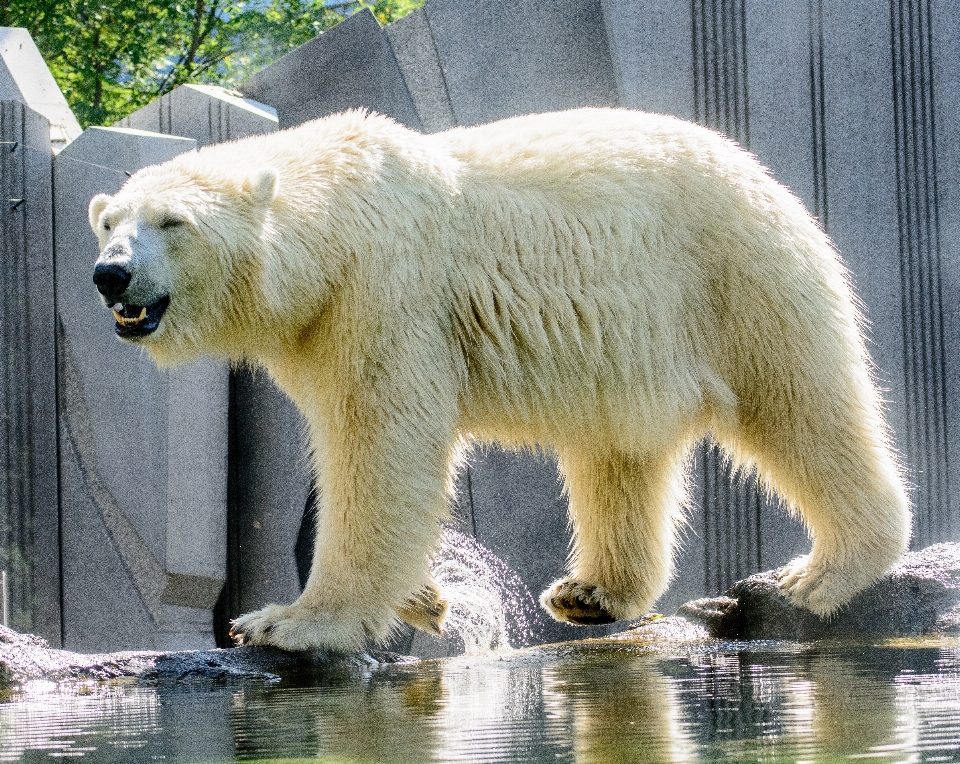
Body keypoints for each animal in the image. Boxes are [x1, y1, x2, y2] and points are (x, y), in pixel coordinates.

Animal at [88, 107, 908, 652]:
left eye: (173, 222)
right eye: (108, 222)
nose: (109, 275)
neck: (340, 220)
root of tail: (761, 171)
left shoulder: (388, 294)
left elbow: (379, 443)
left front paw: (288, 622)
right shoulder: (319, 328)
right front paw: (422, 599)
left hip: (731, 274)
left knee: (799, 403)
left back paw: (824, 575)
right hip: (632, 347)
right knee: (618, 453)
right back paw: (591, 592)